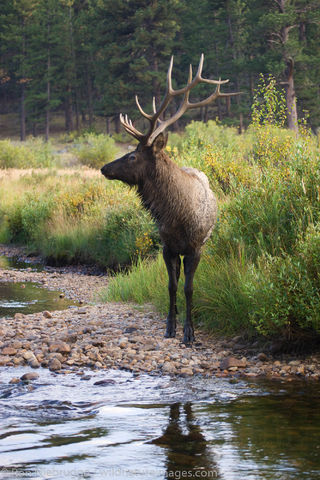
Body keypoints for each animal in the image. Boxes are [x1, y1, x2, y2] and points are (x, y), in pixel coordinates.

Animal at [101, 54, 239, 344]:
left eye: (133, 156)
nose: (104, 168)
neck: (177, 216)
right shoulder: (167, 247)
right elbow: (171, 285)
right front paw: (170, 326)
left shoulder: (196, 248)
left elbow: (188, 287)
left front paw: (190, 332)